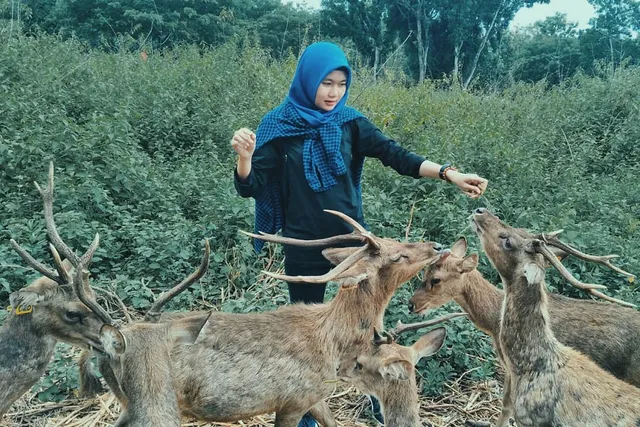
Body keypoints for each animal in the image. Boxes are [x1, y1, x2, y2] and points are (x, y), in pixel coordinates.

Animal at [87, 209, 444, 427]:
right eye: (398, 255)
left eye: (395, 239)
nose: (437, 245)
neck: (334, 345)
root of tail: (104, 350)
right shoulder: (293, 399)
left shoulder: (315, 397)